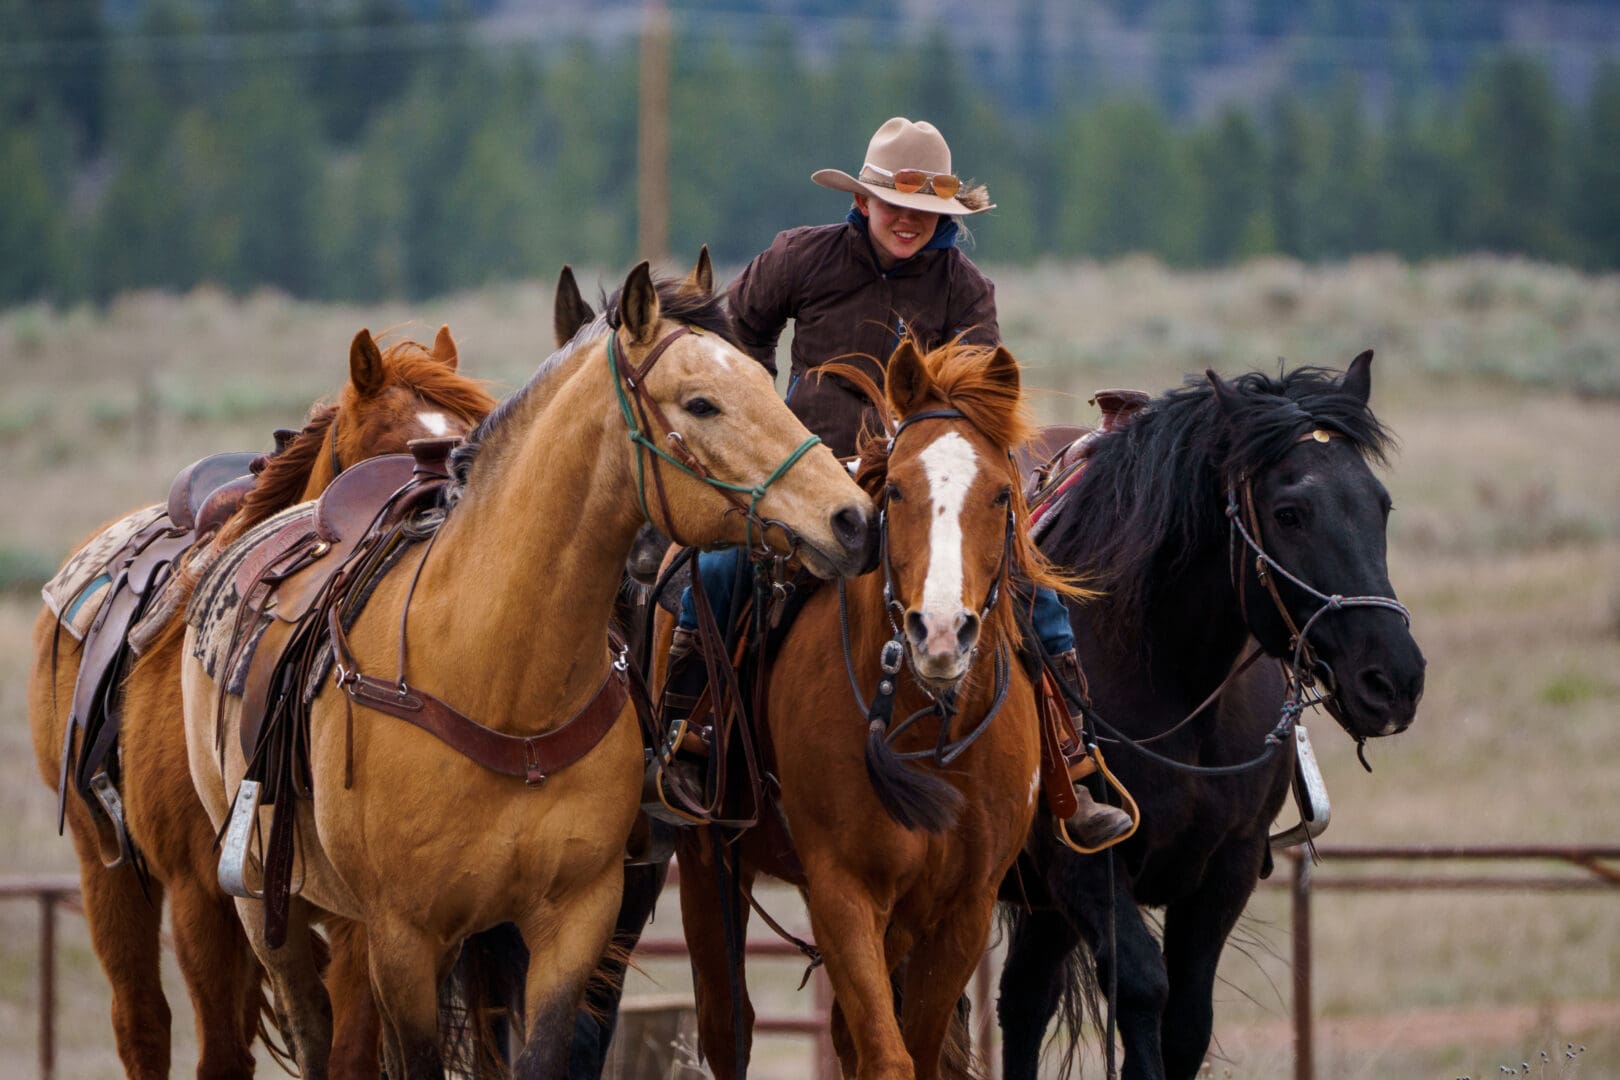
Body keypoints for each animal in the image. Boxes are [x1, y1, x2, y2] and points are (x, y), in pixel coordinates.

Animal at [28, 326, 495, 1078]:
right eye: (388, 450)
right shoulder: (202, 893)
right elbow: (222, 1052)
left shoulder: (357, 914)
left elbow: (348, 1050)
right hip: (109, 871)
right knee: (142, 1022)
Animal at [178, 260, 878, 1079]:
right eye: (701, 402)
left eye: (767, 380)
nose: (852, 518)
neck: (499, 675)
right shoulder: (402, 940)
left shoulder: (571, 925)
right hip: (271, 909)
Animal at [669, 337, 1074, 1080]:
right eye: (898, 489)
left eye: (1002, 493)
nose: (939, 632)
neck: (926, 726)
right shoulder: (844, 891)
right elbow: (888, 1056)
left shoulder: (963, 908)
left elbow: (915, 1046)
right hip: (709, 861)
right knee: (727, 1023)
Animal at [996, 353, 1427, 1080]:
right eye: (1289, 513)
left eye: (1381, 506)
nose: (1394, 680)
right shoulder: (1085, 867)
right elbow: (1144, 990)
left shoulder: (1227, 867)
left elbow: (1187, 1020)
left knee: (1023, 1000)